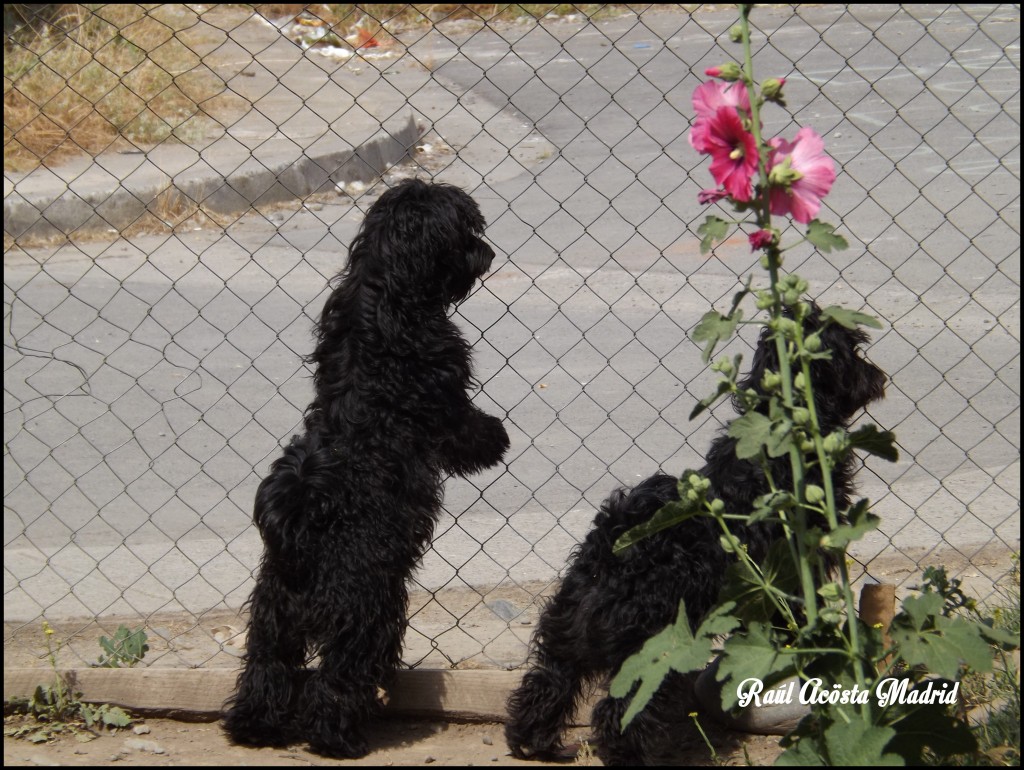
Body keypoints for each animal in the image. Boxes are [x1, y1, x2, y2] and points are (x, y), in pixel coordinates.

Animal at [225, 179, 512, 757]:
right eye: (466, 230)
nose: (489, 253)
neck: (384, 281)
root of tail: (304, 524)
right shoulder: (444, 389)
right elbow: (464, 429)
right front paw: (495, 439)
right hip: (367, 609)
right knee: (339, 676)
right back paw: (337, 738)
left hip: (273, 613)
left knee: (267, 668)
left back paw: (254, 727)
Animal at [505, 305, 888, 765]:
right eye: (851, 351)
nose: (879, 377)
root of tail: (613, 549)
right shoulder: (796, 574)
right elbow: (793, 620)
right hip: (652, 649)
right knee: (620, 709)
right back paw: (630, 757)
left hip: (568, 631)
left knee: (547, 682)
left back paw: (536, 743)